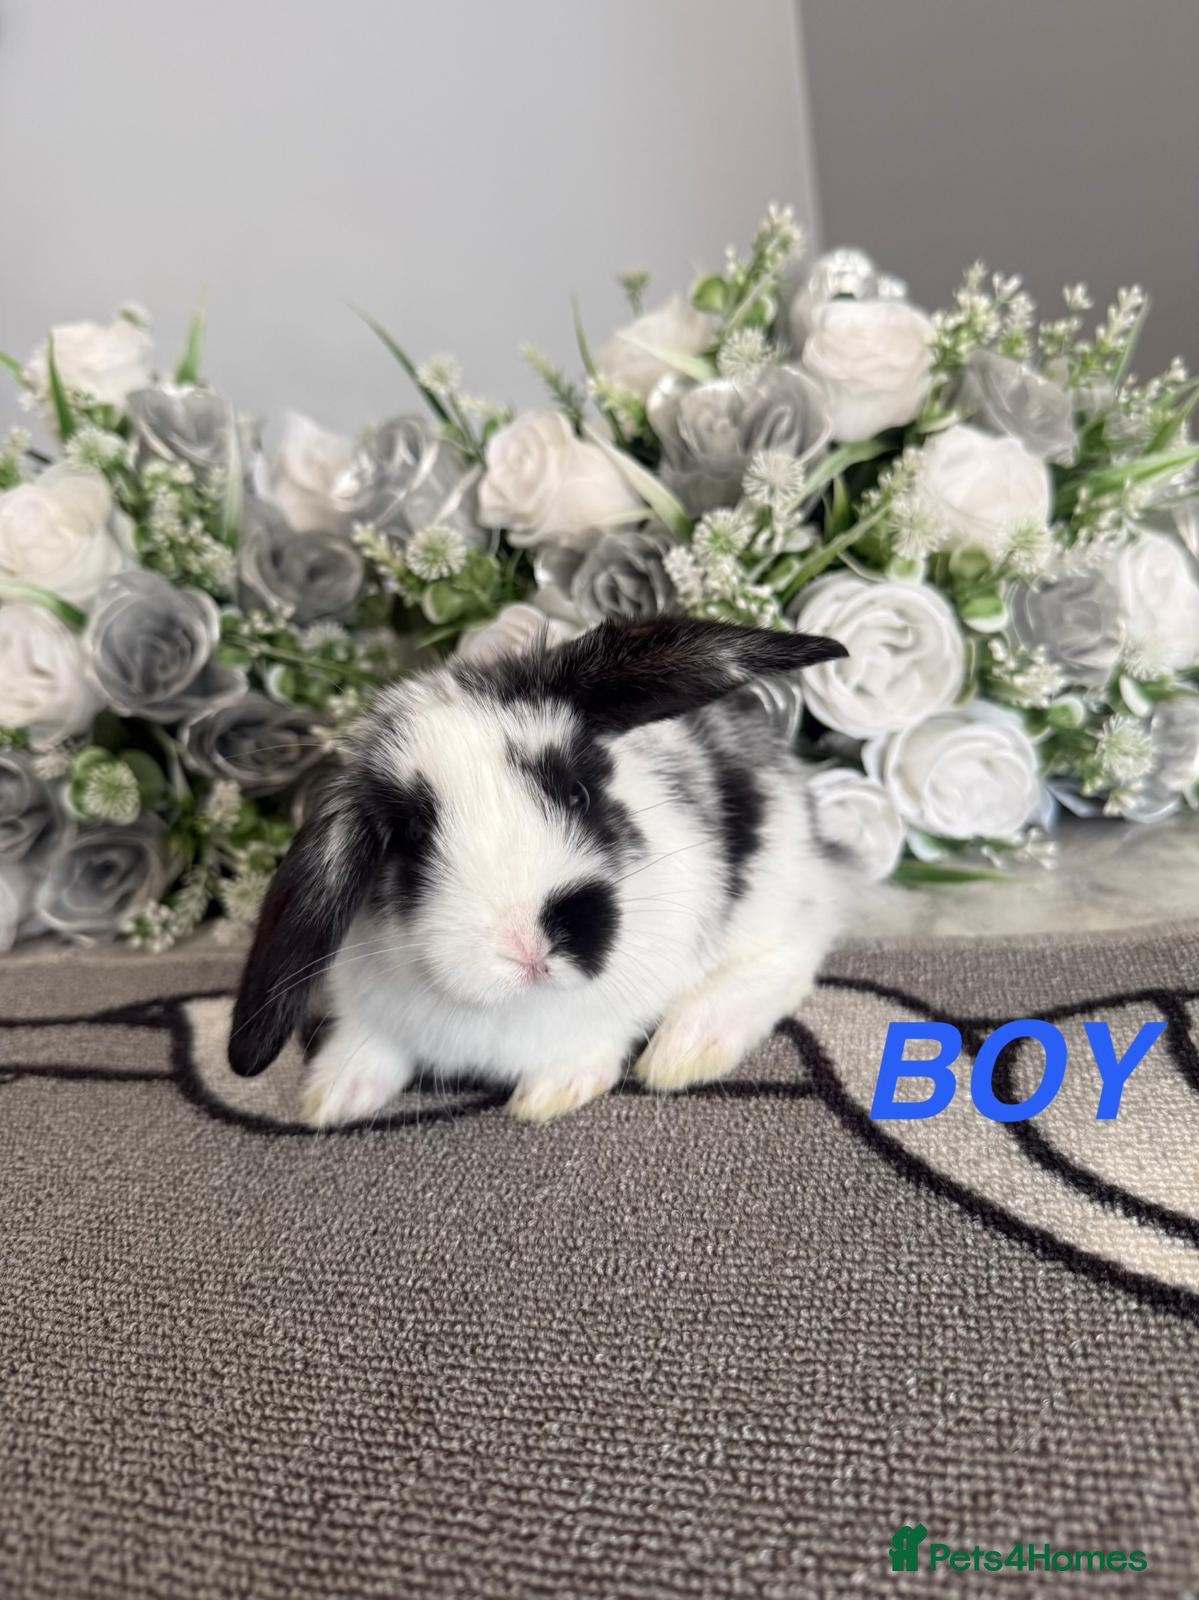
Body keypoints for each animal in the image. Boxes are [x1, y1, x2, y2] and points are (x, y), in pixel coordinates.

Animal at [228, 617, 859, 1127]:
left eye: (578, 793)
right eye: (411, 841)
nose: (529, 944)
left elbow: (596, 1040)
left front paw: (552, 1092)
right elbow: (368, 1046)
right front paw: (330, 1097)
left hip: (777, 895)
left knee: (792, 956)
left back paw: (688, 1049)